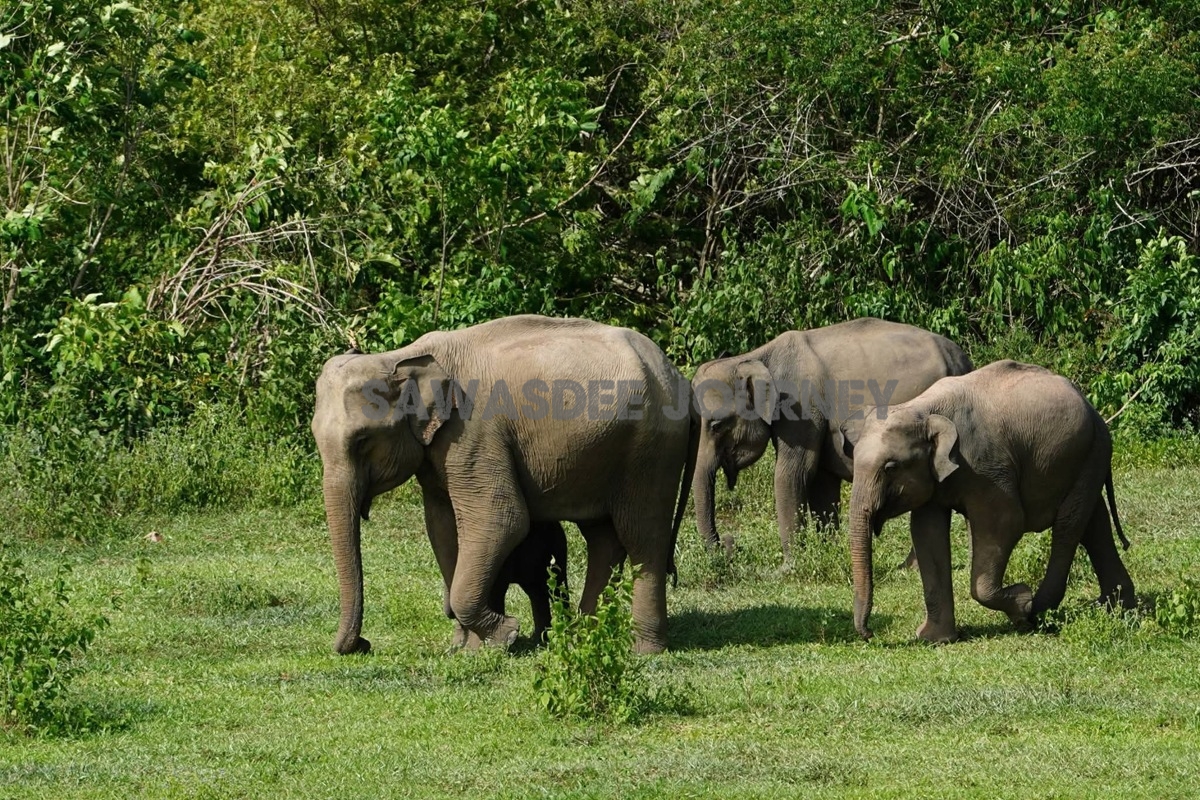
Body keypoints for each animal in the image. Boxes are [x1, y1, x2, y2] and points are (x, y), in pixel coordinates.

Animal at [311, 315, 698, 655]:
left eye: (362, 441)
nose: (363, 645)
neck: (403, 356)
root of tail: (679, 378)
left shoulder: (473, 434)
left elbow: (501, 520)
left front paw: (505, 636)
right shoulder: (440, 451)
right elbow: (441, 527)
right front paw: (465, 649)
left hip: (651, 449)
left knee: (642, 536)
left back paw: (643, 649)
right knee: (603, 537)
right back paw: (584, 638)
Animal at [691, 317, 972, 558]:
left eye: (716, 425)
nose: (728, 543)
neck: (756, 356)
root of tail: (961, 360)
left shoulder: (802, 408)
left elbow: (793, 472)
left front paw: (791, 565)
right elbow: (822, 482)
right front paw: (828, 551)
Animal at [836, 359, 1136, 642]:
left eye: (890, 467)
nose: (870, 634)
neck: (923, 409)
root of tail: (1093, 409)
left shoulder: (986, 467)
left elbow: (1005, 522)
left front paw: (1022, 603)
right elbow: (926, 532)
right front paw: (935, 640)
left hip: (1091, 451)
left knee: (1069, 526)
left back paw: (1039, 611)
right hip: (1086, 456)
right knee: (1094, 523)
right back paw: (1120, 609)